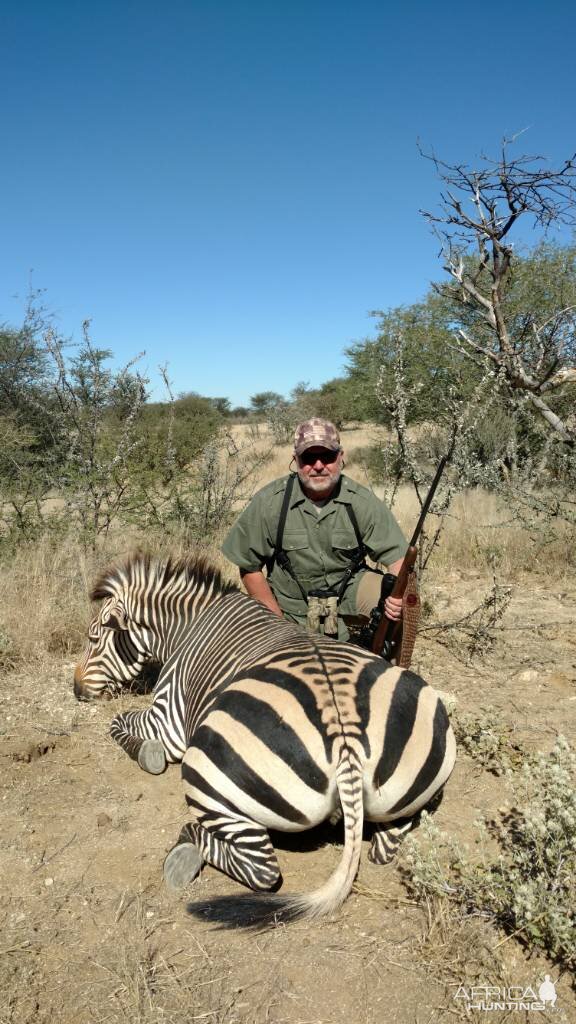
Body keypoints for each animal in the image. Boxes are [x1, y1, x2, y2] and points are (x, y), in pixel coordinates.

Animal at [75, 552, 453, 929]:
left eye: (93, 639)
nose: (76, 689)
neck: (185, 628)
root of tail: (347, 743)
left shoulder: (167, 721)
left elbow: (118, 723)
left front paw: (146, 754)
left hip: (205, 771)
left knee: (261, 870)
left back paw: (186, 848)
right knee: (387, 842)